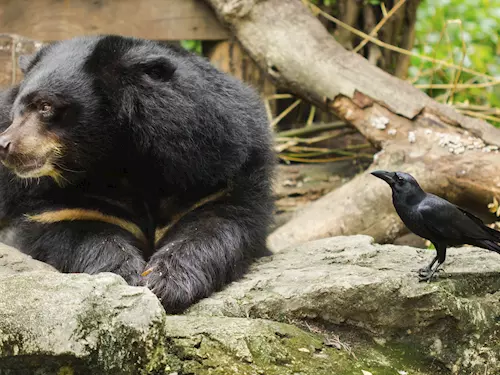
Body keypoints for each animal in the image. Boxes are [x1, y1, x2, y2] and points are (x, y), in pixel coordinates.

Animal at [0, 35, 276, 312]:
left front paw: (165, 282)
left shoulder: (219, 168)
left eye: (45, 106)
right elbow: (74, 229)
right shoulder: (56, 199)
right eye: (17, 111)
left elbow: (215, 224)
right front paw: (126, 274)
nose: (4, 145)